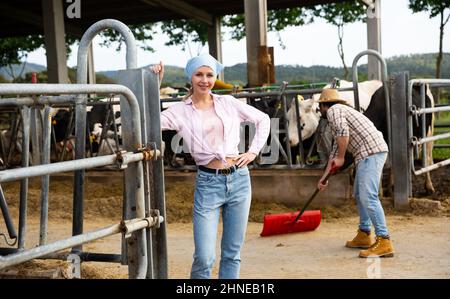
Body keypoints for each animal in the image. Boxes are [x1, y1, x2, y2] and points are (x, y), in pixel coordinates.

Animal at [286, 79, 434, 196]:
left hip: (429, 132)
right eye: (287, 118)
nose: (289, 140)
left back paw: (429, 187)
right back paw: (390, 186)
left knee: (427, 158)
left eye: (301, 120)